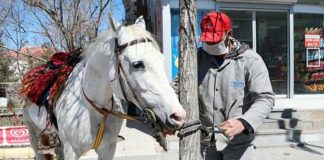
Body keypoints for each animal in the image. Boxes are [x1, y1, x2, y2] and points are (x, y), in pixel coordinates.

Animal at [22, 15, 186, 160]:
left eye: (162, 59)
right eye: (137, 64)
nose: (178, 115)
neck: (93, 107)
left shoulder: (108, 149)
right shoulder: (71, 151)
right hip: (33, 133)